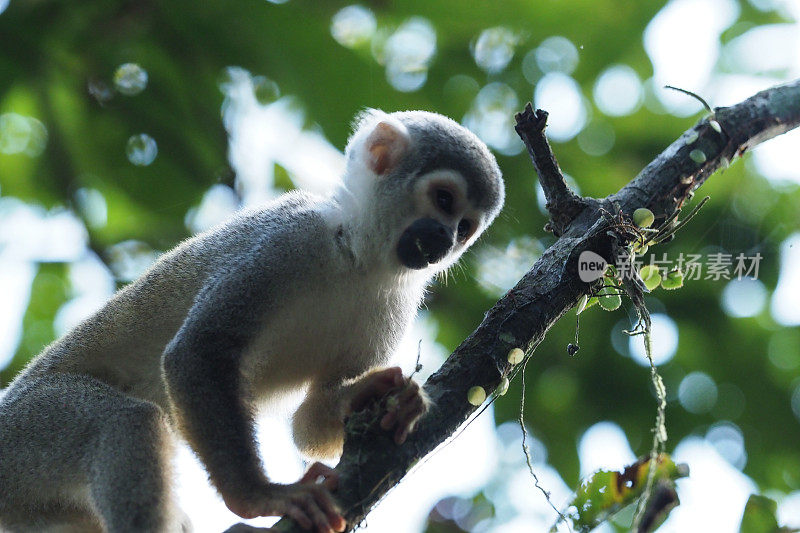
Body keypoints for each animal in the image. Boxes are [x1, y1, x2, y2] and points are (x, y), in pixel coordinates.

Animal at [0, 110, 500, 528]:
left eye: (465, 228)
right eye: (443, 199)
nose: (445, 240)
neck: (357, 260)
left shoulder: (398, 301)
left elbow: (308, 424)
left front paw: (378, 395)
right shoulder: (286, 238)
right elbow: (198, 350)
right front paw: (256, 496)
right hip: (23, 430)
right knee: (126, 419)